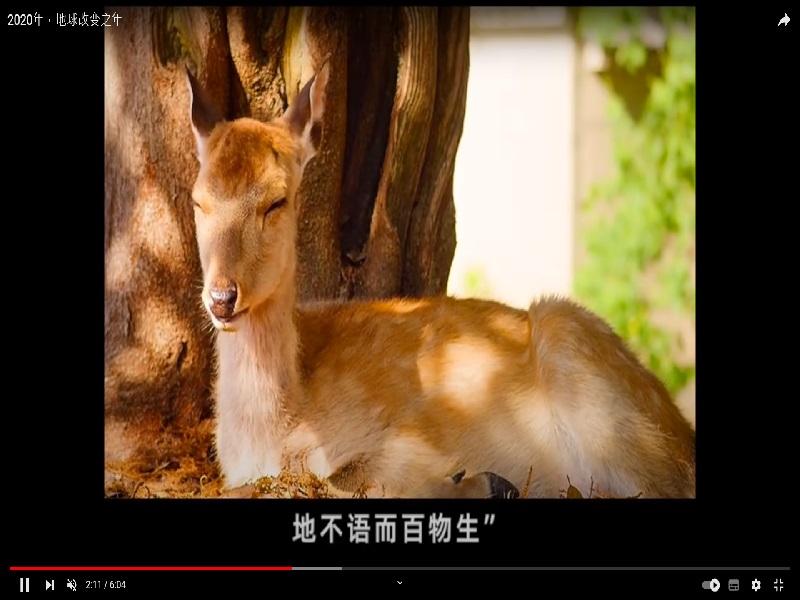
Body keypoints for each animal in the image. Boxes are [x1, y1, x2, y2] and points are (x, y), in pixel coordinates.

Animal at [186, 62, 692, 502]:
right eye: (197, 200)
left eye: (277, 201)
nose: (222, 297)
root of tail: (682, 428)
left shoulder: (408, 433)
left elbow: (346, 475)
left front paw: (481, 480)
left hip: (592, 378)